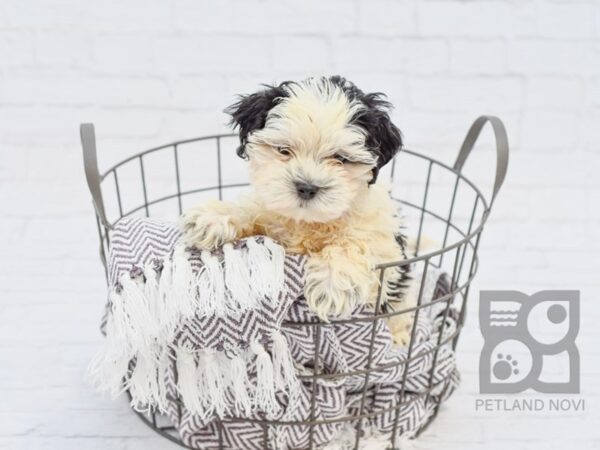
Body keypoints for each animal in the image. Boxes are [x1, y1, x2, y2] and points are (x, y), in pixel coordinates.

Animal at [179, 76, 412, 344]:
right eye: (283, 150)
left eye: (341, 158)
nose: (306, 187)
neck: (308, 222)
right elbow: (250, 210)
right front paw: (212, 218)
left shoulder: (384, 245)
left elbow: (356, 243)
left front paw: (331, 283)